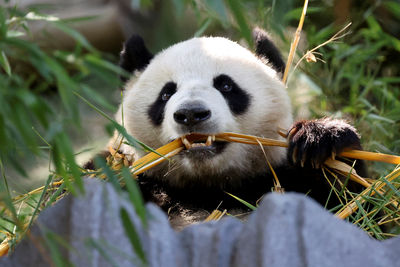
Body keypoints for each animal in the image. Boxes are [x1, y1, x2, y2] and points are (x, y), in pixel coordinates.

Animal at [97, 29, 366, 230]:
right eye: (166, 94)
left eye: (226, 86)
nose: (191, 113)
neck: (210, 191)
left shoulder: (284, 181)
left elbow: (357, 206)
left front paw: (319, 138)